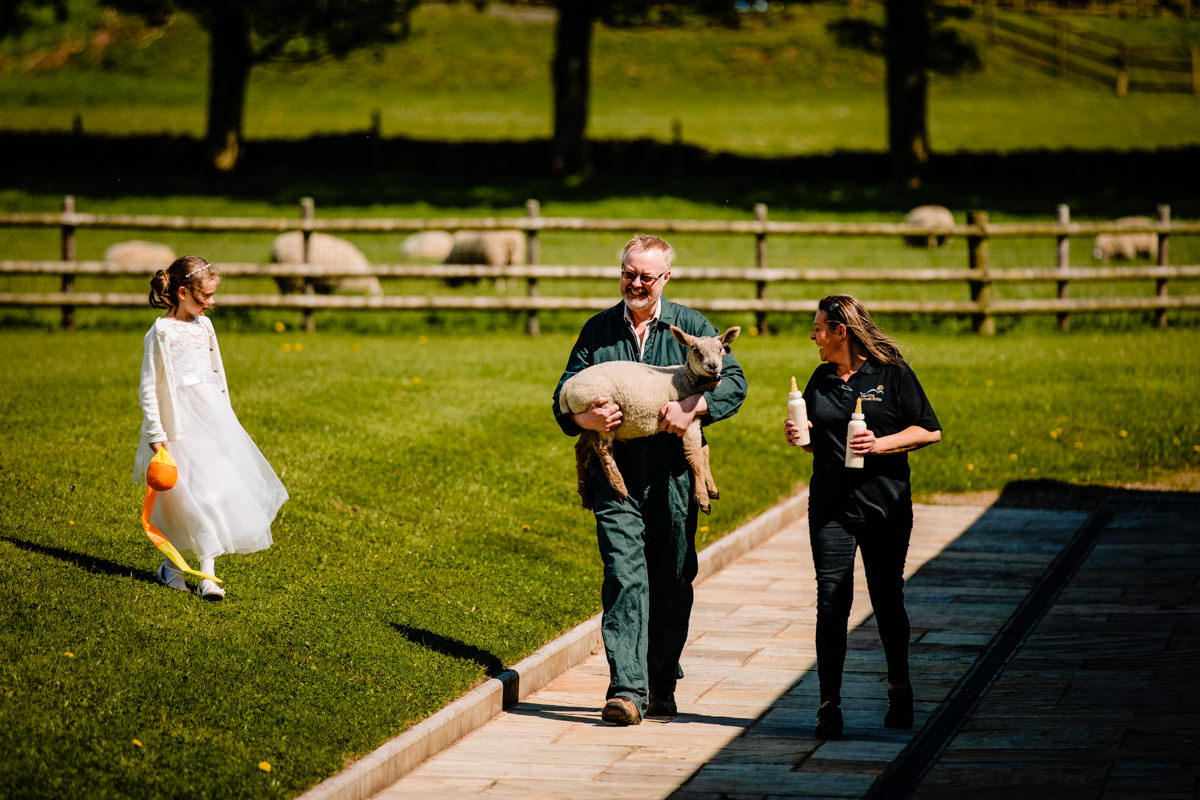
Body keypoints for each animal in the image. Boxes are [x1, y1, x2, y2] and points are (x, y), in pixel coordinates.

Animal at [554, 323, 739, 513]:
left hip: (589, 421)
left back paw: (585, 495)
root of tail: (566, 389)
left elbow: (705, 451)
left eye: (720, 349)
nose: (713, 366)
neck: (685, 378)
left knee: (581, 449)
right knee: (602, 448)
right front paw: (703, 499)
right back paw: (620, 489)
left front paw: (712, 488)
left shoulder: (697, 418)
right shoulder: (689, 420)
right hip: (604, 411)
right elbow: (695, 458)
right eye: (695, 350)